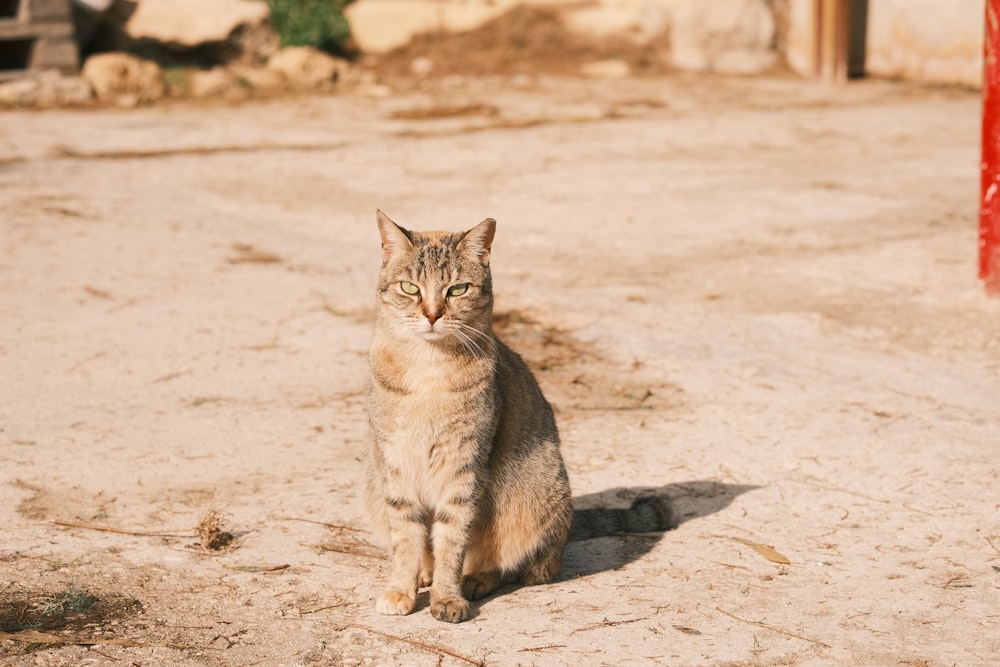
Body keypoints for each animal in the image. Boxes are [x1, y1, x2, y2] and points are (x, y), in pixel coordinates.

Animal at [364, 211, 676, 624]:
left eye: (457, 289)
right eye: (410, 288)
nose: (431, 315)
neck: (428, 367)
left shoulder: (464, 469)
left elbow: (452, 540)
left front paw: (448, 595)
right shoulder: (397, 463)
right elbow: (406, 538)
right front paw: (403, 586)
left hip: (533, 498)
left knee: (523, 567)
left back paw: (476, 579)